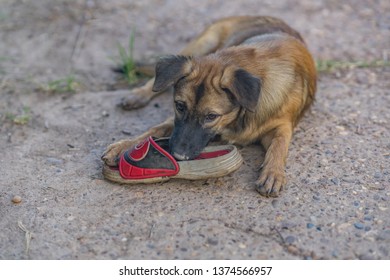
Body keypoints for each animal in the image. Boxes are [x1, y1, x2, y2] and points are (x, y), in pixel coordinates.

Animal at [101, 15, 316, 197]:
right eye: (179, 106)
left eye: (211, 116)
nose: (177, 155)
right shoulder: (175, 119)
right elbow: (156, 128)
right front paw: (125, 146)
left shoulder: (283, 125)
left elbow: (279, 145)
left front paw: (273, 173)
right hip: (202, 45)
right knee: (156, 80)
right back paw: (138, 95)